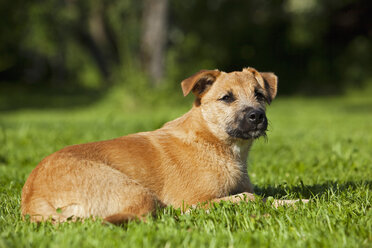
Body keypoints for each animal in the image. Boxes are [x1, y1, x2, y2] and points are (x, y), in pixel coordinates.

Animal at [21, 67, 302, 224]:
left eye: (259, 95)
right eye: (226, 98)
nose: (257, 116)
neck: (214, 143)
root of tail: (33, 201)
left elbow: (267, 197)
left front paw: (298, 203)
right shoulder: (192, 200)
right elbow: (249, 198)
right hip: (137, 193)